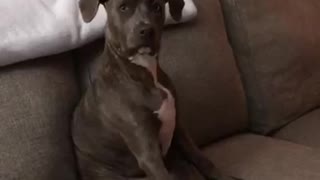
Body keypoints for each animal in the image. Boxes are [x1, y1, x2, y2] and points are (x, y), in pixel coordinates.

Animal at [72, 0, 240, 180]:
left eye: (157, 7)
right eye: (123, 7)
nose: (146, 30)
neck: (143, 73)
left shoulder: (178, 127)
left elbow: (201, 158)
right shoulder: (148, 153)